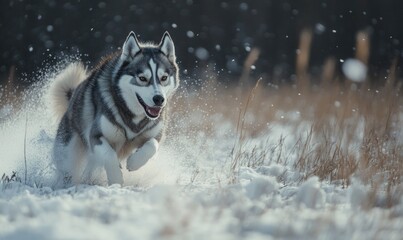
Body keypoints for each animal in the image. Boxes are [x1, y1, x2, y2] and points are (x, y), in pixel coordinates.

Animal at [49, 31, 180, 186]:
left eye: (164, 77)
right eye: (142, 78)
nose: (159, 99)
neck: (134, 119)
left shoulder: (155, 135)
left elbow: (152, 146)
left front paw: (134, 162)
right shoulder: (96, 136)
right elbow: (109, 155)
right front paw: (116, 180)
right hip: (68, 152)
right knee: (69, 169)